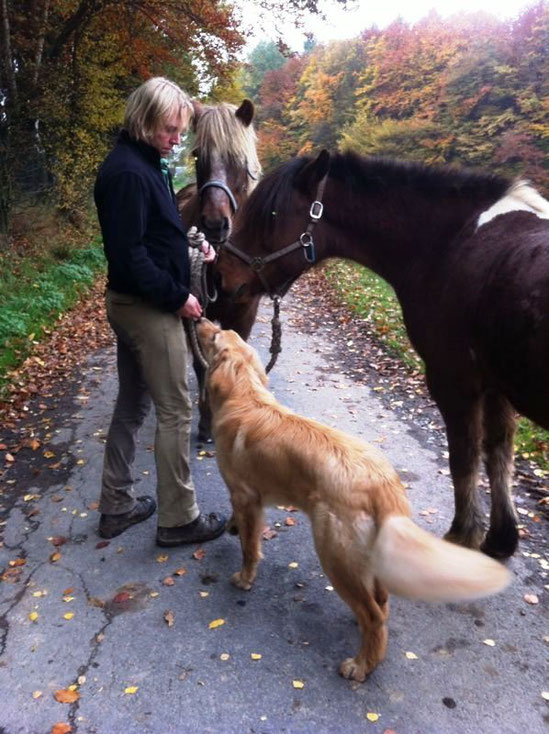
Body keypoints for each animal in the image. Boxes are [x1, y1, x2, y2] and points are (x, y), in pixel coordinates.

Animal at [176, 100, 262, 440]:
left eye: (238, 159)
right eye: (198, 155)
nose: (214, 224)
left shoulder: (244, 312)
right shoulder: (195, 312)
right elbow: (203, 365)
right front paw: (206, 421)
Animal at [196, 320, 510, 684]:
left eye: (215, 336)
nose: (200, 318)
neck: (245, 396)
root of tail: (384, 483)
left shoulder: (246, 495)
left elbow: (249, 548)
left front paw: (244, 578)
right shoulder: (248, 499)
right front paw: (232, 528)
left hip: (334, 553)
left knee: (373, 615)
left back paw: (361, 666)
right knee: (380, 605)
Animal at [214, 151, 548, 564]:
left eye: (270, 216)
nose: (220, 277)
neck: (449, 244)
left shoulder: (454, 380)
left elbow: (464, 457)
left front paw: (462, 537)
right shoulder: (494, 384)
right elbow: (498, 452)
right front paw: (500, 538)